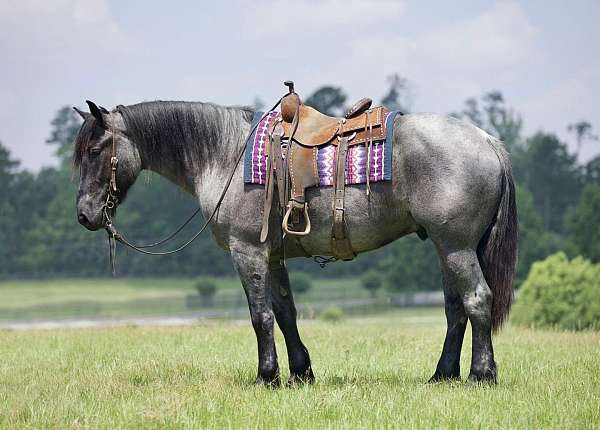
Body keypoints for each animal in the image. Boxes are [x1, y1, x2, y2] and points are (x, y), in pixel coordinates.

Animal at [74, 98, 516, 386]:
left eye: (95, 150)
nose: (84, 215)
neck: (226, 155)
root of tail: (487, 141)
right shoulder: (272, 257)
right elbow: (285, 312)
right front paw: (301, 372)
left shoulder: (247, 251)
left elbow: (260, 315)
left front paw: (266, 377)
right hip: (449, 248)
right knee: (455, 309)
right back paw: (443, 375)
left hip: (455, 246)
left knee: (477, 300)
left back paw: (481, 375)